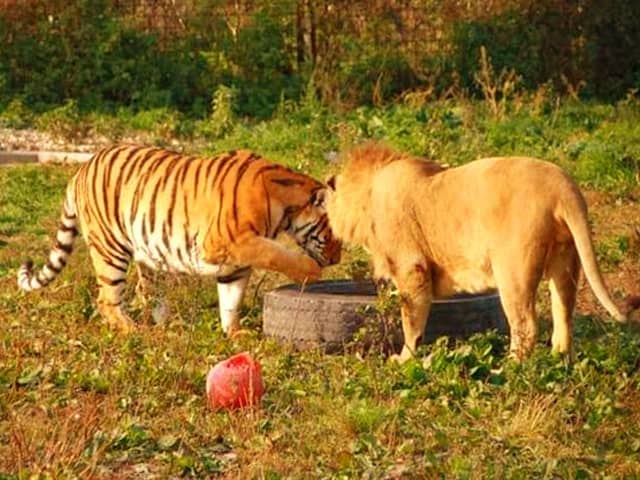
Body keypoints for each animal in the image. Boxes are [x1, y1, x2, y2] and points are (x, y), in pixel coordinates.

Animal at [17, 144, 342, 336]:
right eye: (334, 235)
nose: (337, 259)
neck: (284, 208)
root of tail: (81, 170)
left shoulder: (234, 263)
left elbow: (231, 300)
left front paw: (234, 333)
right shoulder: (231, 242)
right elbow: (276, 253)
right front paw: (310, 272)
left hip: (149, 256)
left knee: (147, 294)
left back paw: (168, 327)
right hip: (111, 248)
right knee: (106, 299)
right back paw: (134, 331)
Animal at [324, 144, 624, 362]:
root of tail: (563, 186)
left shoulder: (412, 267)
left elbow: (411, 320)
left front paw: (403, 359)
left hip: (512, 268)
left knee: (525, 326)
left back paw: (508, 368)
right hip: (566, 261)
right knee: (564, 315)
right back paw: (559, 359)